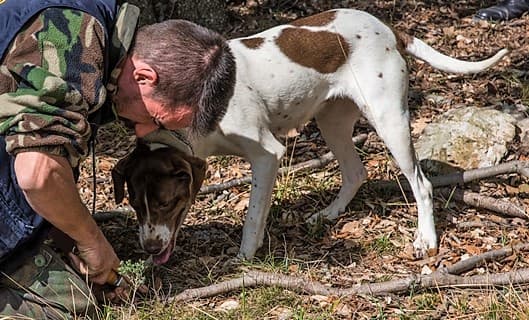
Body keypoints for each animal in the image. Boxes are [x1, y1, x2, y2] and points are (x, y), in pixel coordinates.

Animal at [112, 8, 508, 264]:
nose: (149, 249)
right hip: (332, 121)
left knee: (421, 183)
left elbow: (253, 217)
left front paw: (245, 256)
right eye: (135, 206)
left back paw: (426, 240)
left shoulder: (267, 154)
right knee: (356, 172)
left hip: (388, 118)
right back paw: (328, 214)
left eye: (165, 203)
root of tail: (389, 28)